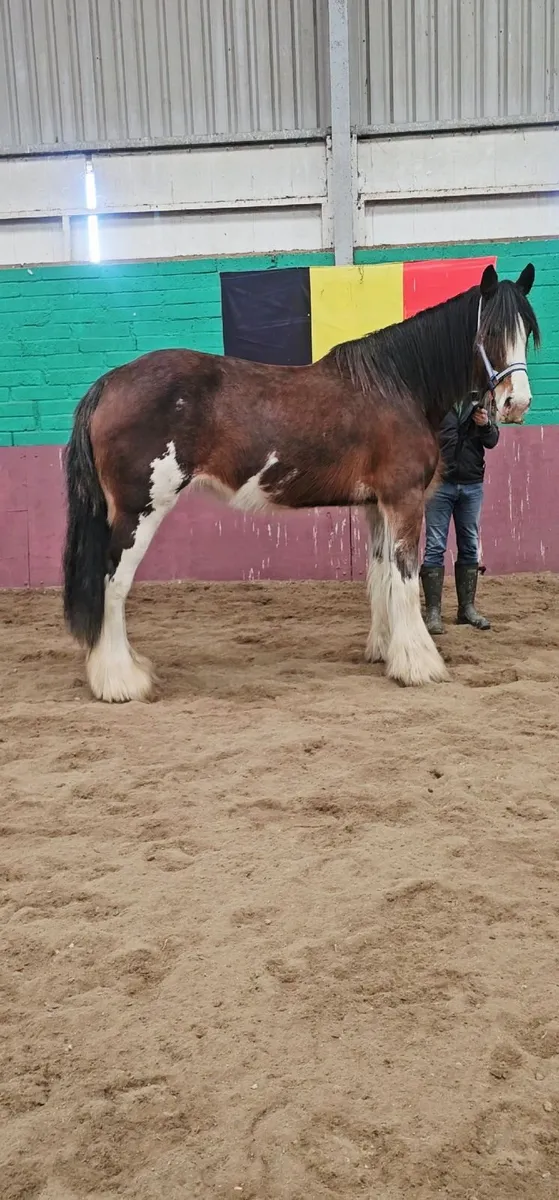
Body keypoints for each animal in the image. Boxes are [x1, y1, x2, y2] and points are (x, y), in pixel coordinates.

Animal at [62, 262, 539, 703]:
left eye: (527, 332)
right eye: (490, 332)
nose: (516, 403)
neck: (399, 386)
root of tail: (110, 383)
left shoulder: (376, 506)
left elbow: (381, 575)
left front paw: (385, 651)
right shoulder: (404, 500)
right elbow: (404, 578)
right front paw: (418, 665)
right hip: (139, 511)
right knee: (112, 584)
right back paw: (120, 681)